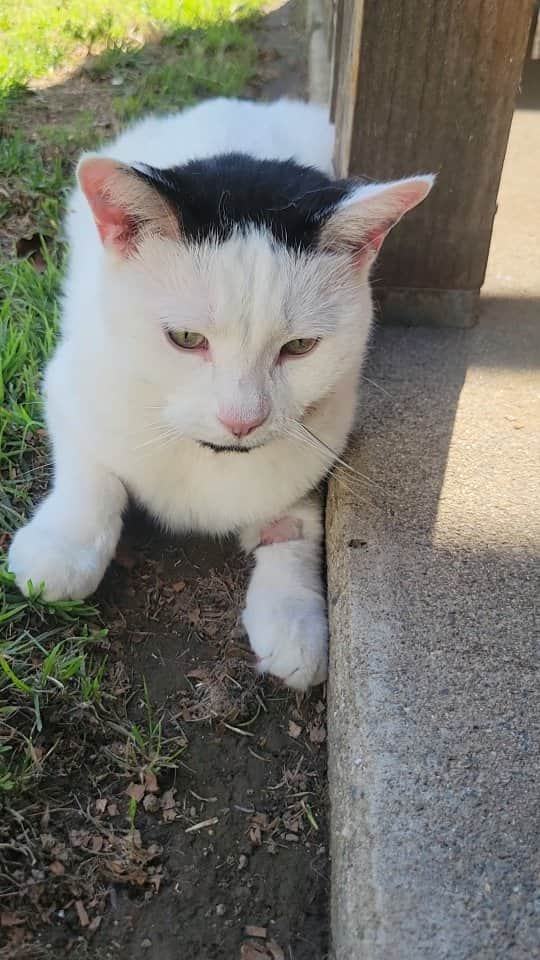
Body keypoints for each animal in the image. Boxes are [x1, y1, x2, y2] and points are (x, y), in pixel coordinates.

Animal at [6, 97, 432, 688]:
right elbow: (92, 473)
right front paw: (64, 544)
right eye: (186, 339)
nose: (242, 419)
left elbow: (294, 525)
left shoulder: (322, 440)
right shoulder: (69, 380)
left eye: (300, 346)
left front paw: (293, 616)